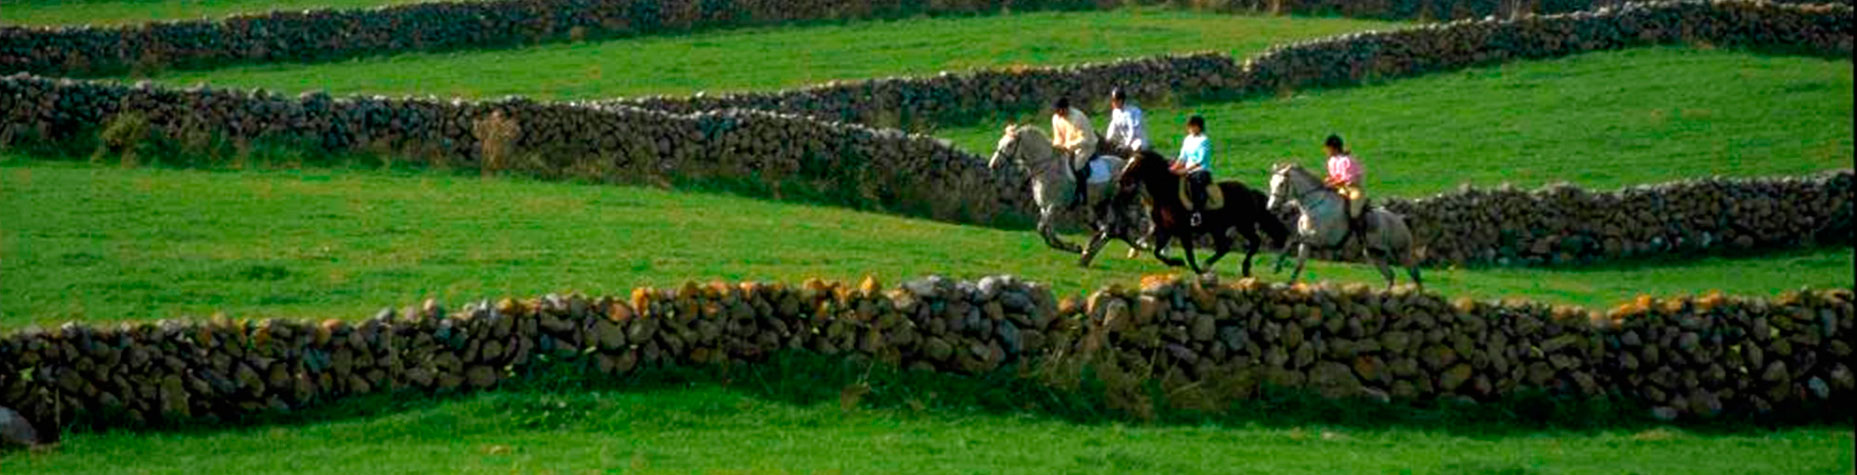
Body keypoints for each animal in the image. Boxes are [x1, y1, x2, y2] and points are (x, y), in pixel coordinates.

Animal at [987, 123, 1143, 267]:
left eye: (1009, 144)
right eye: (1000, 142)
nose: (993, 165)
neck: (1046, 168)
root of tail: (1126, 164)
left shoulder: (1054, 206)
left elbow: (1042, 229)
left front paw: (1074, 248)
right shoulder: (1045, 208)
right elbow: (1048, 232)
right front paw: (1073, 247)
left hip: (1113, 202)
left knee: (1114, 228)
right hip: (1098, 204)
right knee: (1108, 229)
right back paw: (1086, 256)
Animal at [1106, 150, 1285, 276]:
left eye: (1135, 163)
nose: (1121, 179)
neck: (1166, 193)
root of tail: (1249, 191)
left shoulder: (1183, 230)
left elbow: (1189, 253)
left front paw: (1194, 269)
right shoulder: (1165, 229)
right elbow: (1157, 252)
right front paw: (1177, 262)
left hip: (1243, 224)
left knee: (1254, 241)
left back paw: (1244, 268)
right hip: (1218, 227)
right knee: (1224, 247)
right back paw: (1209, 264)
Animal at [1262, 162, 1418, 289]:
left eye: (1282, 184)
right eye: (1270, 183)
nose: (1271, 208)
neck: (1314, 206)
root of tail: (1401, 220)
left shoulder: (1319, 240)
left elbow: (1292, 240)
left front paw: (1277, 266)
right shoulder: (1307, 242)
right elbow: (1297, 260)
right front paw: (1280, 272)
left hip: (1401, 253)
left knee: (1414, 274)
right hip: (1375, 255)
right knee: (1390, 276)